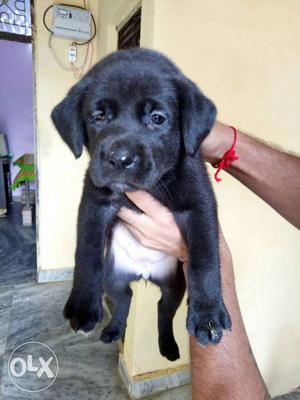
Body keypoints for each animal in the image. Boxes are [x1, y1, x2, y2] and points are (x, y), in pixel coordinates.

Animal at [51, 48, 231, 360]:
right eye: (98, 117)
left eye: (157, 118)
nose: (120, 159)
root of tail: (143, 272)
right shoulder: (94, 205)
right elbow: (86, 253)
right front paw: (83, 305)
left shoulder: (200, 205)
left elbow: (205, 257)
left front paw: (208, 314)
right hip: (113, 279)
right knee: (125, 299)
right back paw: (113, 330)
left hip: (174, 286)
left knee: (163, 311)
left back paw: (168, 345)